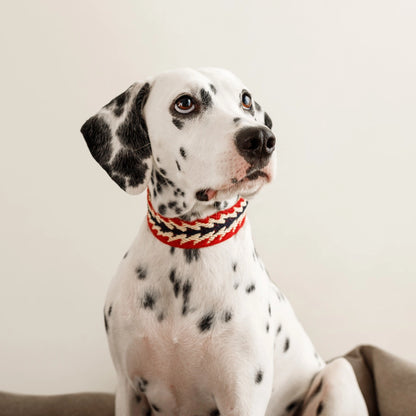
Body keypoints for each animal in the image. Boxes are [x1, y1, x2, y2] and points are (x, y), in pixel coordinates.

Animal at [80, 68, 368, 416]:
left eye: (245, 99)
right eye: (185, 103)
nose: (260, 139)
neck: (189, 249)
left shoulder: (242, 396)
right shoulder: (128, 390)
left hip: (339, 372)